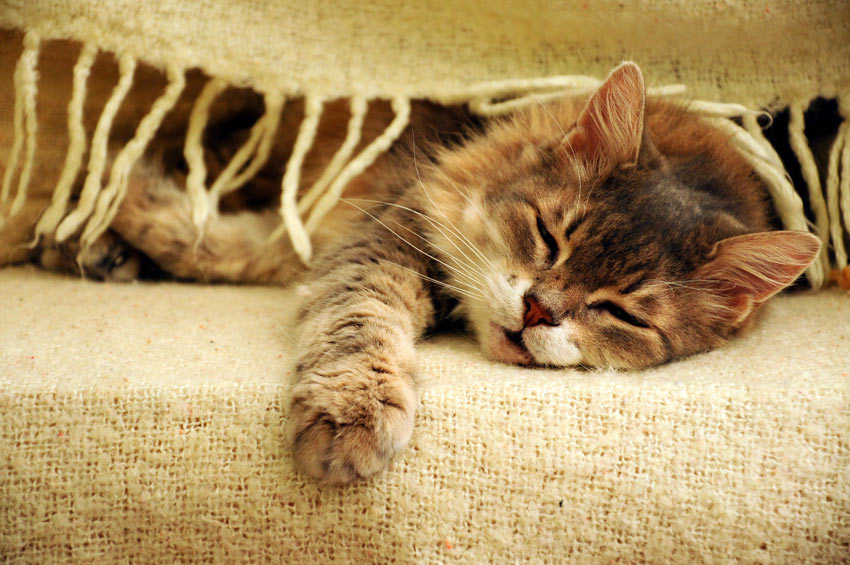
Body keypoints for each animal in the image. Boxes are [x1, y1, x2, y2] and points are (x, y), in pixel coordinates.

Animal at [14, 62, 820, 484]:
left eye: (621, 313)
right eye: (548, 237)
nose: (539, 311)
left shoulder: (339, 234)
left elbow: (230, 246)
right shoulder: (381, 235)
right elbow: (348, 316)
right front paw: (351, 420)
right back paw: (80, 235)